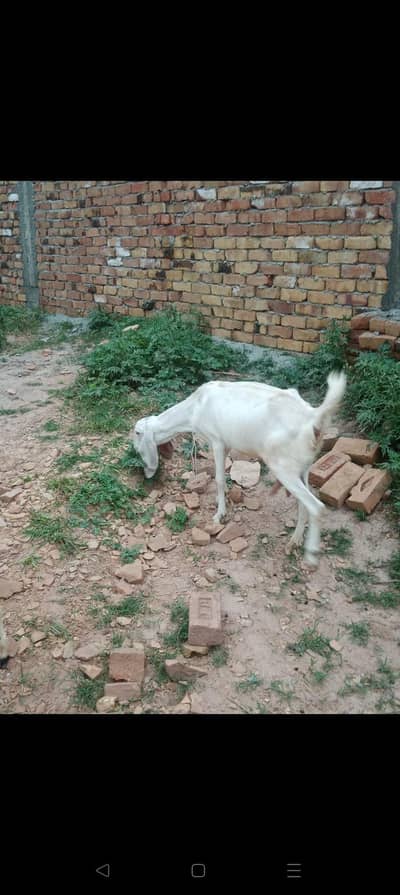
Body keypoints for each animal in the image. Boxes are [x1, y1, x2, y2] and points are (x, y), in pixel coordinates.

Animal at [131, 371, 346, 567]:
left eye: (137, 435)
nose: (146, 473)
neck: (195, 407)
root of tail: (312, 416)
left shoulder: (216, 441)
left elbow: (218, 478)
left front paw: (219, 515)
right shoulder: (227, 444)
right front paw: (224, 498)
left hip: (282, 467)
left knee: (316, 506)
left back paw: (310, 555)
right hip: (303, 466)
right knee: (304, 502)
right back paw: (295, 541)